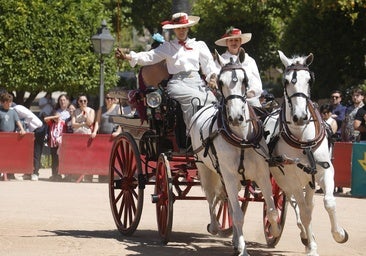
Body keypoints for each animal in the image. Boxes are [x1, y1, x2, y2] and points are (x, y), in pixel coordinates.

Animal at [189, 48, 280, 256]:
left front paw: (275, 231)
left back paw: (234, 239)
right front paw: (243, 250)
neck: (242, 140)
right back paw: (215, 226)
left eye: (245, 80)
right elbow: (237, 215)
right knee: (211, 197)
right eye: (220, 82)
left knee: (227, 202)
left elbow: (271, 211)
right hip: (204, 168)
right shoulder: (229, 175)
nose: (236, 117)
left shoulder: (262, 174)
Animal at [264, 50, 348, 256]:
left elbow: (329, 202)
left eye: (309, 80)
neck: (303, 139)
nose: (300, 117)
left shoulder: (326, 171)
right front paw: (312, 246)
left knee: (308, 204)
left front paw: (339, 234)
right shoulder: (293, 180)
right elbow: (304, 212)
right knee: (294, 204)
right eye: (286, 81)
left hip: (309, 180)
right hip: (284, 181)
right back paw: (299, 235)